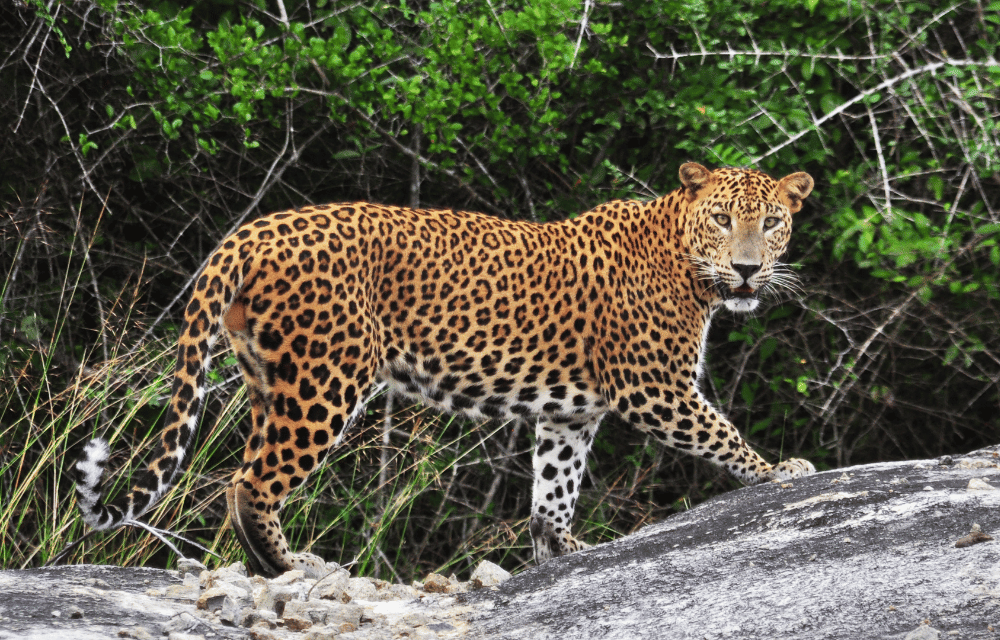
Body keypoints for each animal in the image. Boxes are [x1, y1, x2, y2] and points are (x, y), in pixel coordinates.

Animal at [76, 162, 812, 576]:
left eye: (774, 221)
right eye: (724, 219)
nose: (748, 268)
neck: (690, 265)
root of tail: (252, 231)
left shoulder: (570, 414)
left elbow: (554, 488)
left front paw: (561, 551)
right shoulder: (654, 387)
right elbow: (721, 433)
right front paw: (781, 471)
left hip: (270, 380)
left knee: (247, 472)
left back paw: (273, 565)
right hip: (326, 377)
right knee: (251, 481)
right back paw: (290, 565)